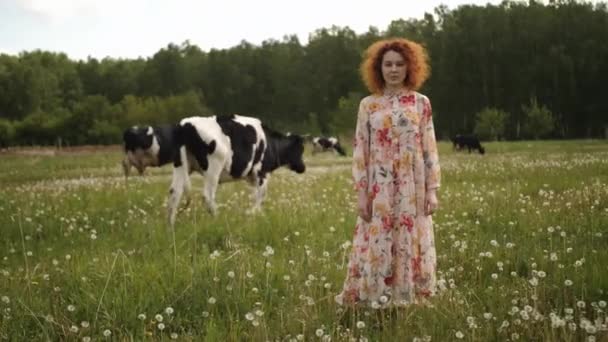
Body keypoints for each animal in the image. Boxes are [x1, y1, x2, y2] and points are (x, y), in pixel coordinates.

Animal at [166, 115, 306, 227]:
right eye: (300, 149)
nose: (303, 167)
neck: (271, 144)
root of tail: (186, 124)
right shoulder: (261, 173)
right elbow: (261, 196)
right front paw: (253, 213)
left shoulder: (253, 177)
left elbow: (255, 195)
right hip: (213, 167)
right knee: (207, 195)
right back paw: (218, 219)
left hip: (181, 165)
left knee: (175, 193)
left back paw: (171, 226)